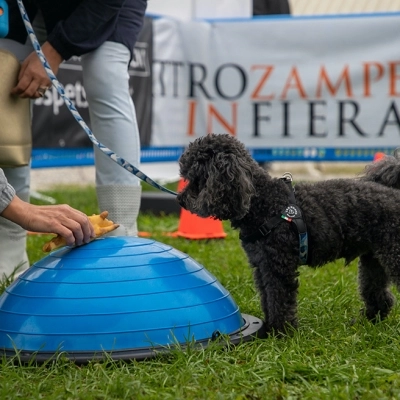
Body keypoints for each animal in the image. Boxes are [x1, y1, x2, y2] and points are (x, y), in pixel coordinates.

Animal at [178, 134, 400, 334]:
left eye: (197, 178)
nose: (180, 199)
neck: (262, 202)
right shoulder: (262, 266)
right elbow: (267, 298)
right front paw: (268, 329)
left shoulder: (278, 266)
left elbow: (279, 299)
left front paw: (280, 333)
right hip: (374, 260)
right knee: (378, 293)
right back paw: (368, 321)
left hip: (392, 253)